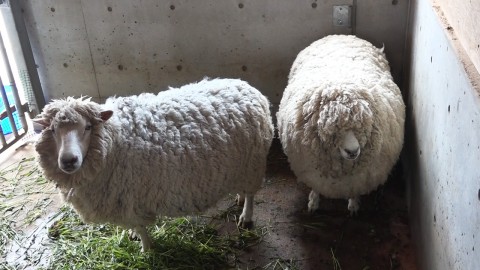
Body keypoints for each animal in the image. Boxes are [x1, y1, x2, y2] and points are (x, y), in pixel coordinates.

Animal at [32, 77, 274, 251]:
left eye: (88, 127)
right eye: (52, 130)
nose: (68, 160)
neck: (114, 139)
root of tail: (248, 87)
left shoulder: (130, 198)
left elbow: (141, 228)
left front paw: (146, 249)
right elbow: (135, 228)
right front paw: (132, 236)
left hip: (253, 162)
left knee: (252, 194)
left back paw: (246, 216)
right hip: (239, 165)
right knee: (243, 188)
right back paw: (238, 197)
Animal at [278, 34, 404, 214]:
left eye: (361, 127)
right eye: (332, 130)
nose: (353, 151)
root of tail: (341, 35)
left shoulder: (359, 179)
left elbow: (355, 191)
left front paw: (353, 204)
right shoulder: (313, 173)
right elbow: (316, 187)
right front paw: (313, 201)